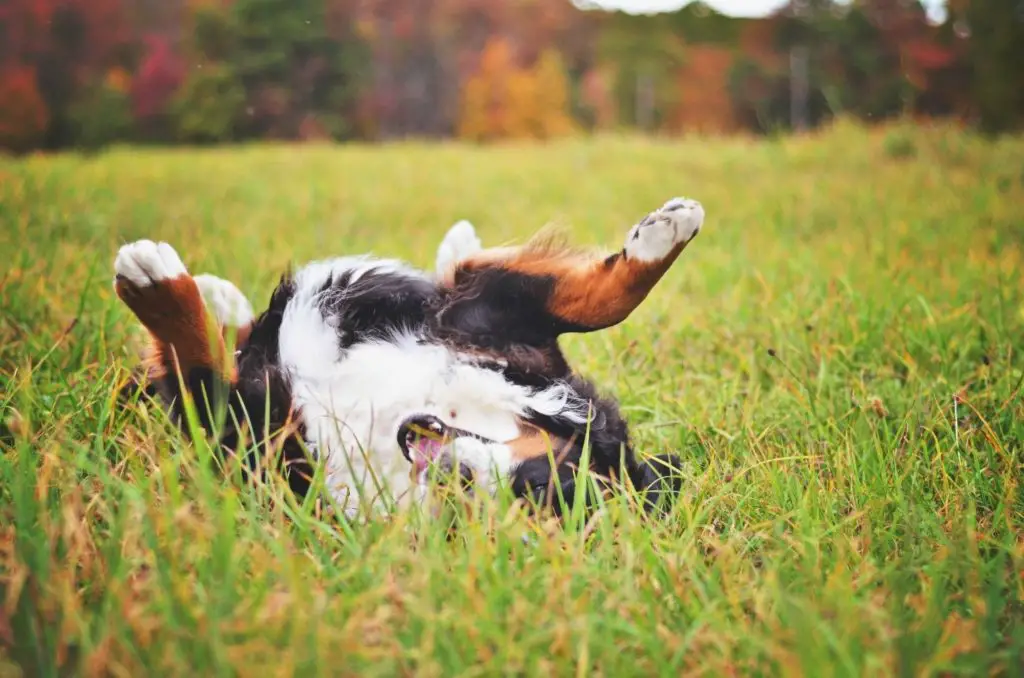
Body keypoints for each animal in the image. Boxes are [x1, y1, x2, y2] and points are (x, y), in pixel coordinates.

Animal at [112, 196, 704, 520]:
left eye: (530, 502)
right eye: (539, 483)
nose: (455, 476)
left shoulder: (258, 440)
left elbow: (201, 378)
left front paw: (155, 289)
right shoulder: (494, 322)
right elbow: (601, 300)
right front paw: (665, 235)